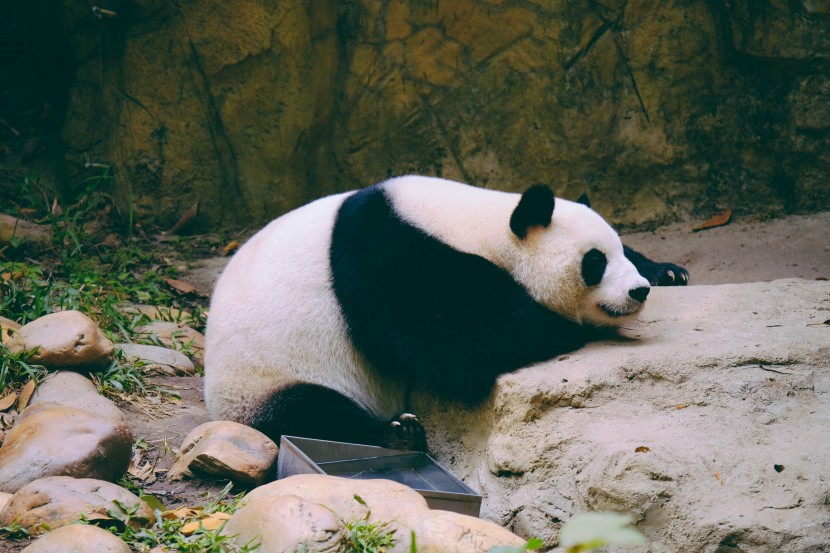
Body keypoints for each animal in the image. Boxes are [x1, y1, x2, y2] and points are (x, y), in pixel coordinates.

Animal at [205, 175, 692, 450]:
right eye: (594, 263)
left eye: (617, 250)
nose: (637, 290)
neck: (477, 223)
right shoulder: (391, 259)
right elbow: (454, 350)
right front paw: (558, 325)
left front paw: (668, 271)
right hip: (260, 380)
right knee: (310, 414)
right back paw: (396, 435)